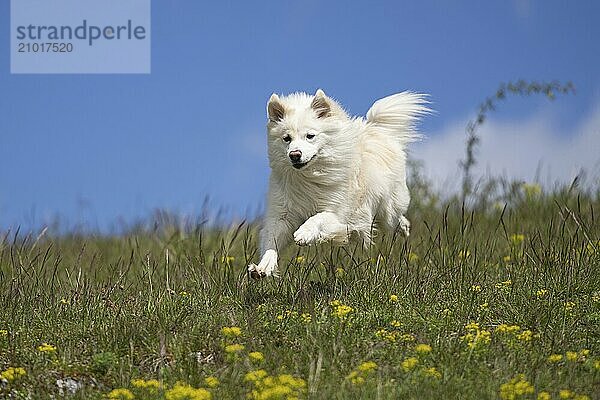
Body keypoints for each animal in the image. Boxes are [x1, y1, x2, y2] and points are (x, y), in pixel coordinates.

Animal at [250, 90, 432, 278]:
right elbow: (271, 242)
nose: (294, 154)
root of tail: (375, 128)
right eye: (286, 138)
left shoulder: (337, 213)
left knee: (396, 217)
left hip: (388, 207)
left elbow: (318, 218)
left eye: (310, 136)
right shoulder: (282, 215)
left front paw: (304, 233)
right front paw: (263, 267)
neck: (309, 178)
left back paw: (404, 228)